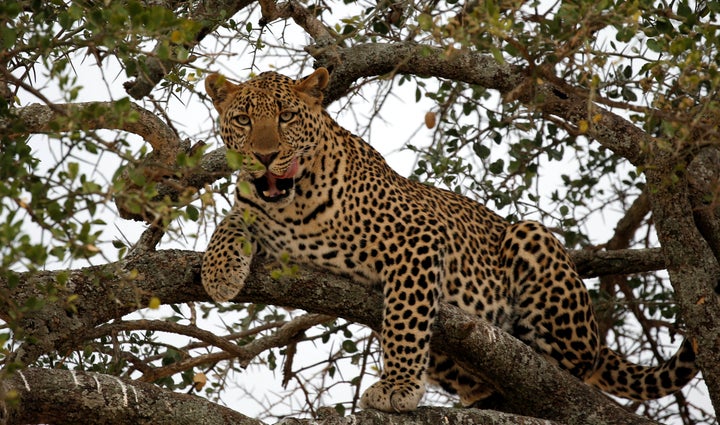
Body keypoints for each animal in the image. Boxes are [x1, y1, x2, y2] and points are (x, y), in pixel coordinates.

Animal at [201, 66, 696, 410]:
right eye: (243, 120)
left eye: (286, 117)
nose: (265, 156)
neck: (293, 202)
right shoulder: (255, 209)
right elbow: (231, 220)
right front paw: (218, 270)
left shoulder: (418, 236)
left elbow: (403, 321)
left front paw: (398, 386)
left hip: (532, 239)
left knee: (574, 367)